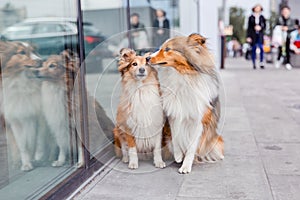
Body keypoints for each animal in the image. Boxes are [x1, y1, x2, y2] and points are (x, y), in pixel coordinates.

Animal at [149, 33, 224, 173]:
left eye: (167, 49)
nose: (147, 58)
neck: (182, 75)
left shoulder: (199, 121)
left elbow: (191, 148)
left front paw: (185, 166)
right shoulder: (173, 116)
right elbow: (176, 137)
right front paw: (178, 156)